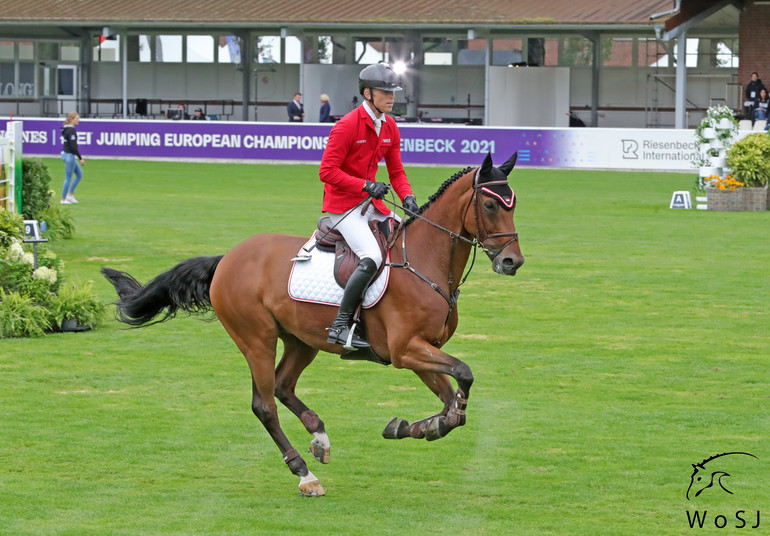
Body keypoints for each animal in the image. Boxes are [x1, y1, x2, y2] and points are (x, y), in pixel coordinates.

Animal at [102, 150, 520, 494]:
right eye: (489, 203)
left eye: (514, 205)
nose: (512, 262)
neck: (424, 260)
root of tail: (227, 259)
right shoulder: (406, 350)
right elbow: (463, 375)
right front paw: (425, 425)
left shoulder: (421, 350)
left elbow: (451, 399)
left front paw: (417, 427)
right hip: (256, 338)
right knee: (264, 404)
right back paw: (304, 473)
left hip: (301, 340)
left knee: (283, 386)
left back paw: (318, 435)